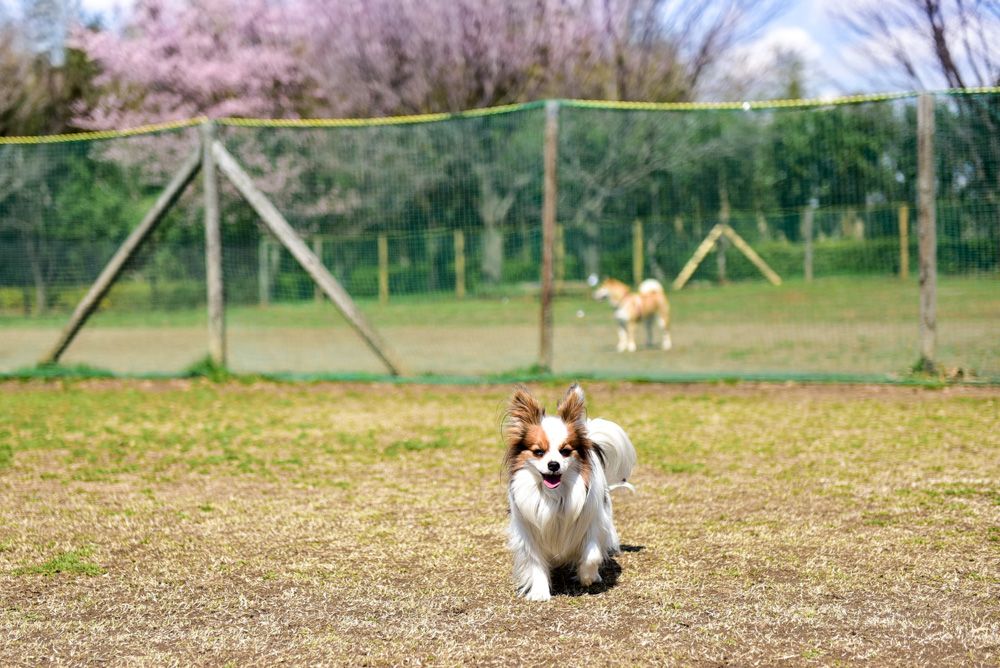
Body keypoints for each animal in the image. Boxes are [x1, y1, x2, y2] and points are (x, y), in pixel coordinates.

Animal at [504, 384, 636, 604]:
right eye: (538, 452)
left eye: (565, 451)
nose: (553, 465)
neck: (554, 495)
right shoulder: (530, 531)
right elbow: (535, 562)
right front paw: (540, 592)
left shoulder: (592, 523)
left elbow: (591, 554)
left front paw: (587, 577)